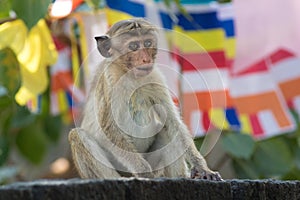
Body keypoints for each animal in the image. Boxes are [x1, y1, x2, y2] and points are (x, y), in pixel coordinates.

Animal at [68, 18, 223, 181]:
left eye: (148, 43)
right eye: (133, 46)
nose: (146, 59)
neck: (130, 75)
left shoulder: (155, 78)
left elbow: (173, 123)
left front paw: (202, 168)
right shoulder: (110, 81)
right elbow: (108, 129)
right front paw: (144, 173)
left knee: (165, 129)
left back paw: (180, 175)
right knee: (77, 135)